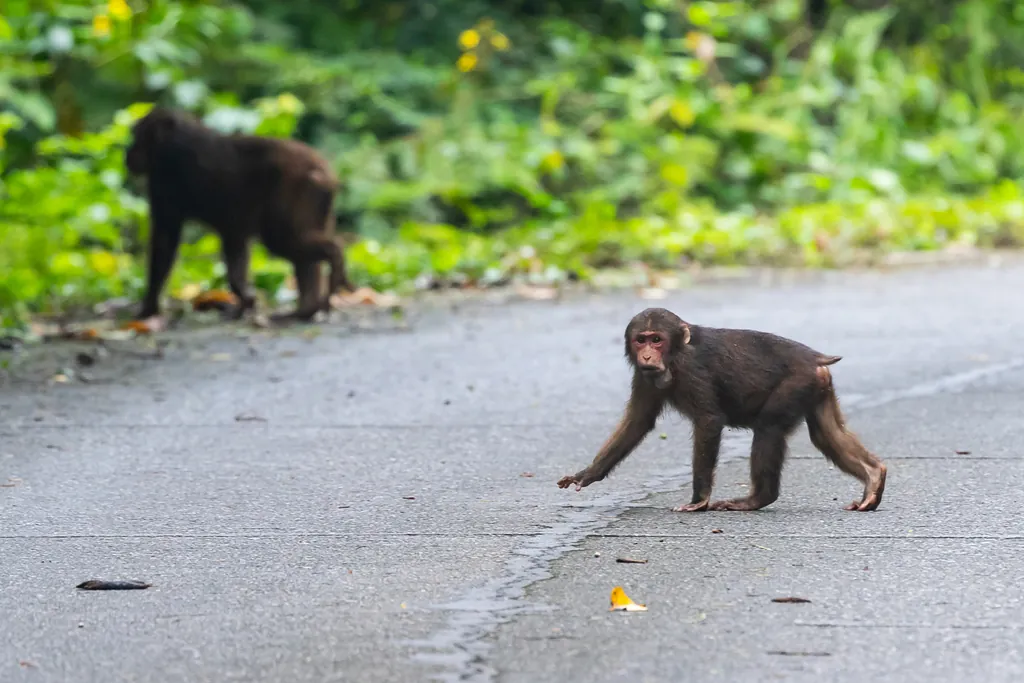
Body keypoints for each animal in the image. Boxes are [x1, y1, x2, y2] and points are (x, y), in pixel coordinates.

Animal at [124, 106, 355, 323]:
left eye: (136, 136)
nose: (128, 153)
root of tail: (323, 172)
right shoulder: (232, 225)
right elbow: (235, 245)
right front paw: (246, 300)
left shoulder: (163, 177)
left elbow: (164, 240)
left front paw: (148, 308)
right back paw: (306, 310)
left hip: (295, 193)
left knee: (282, 240)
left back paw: (334, 262)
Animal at [557, 308, 887, 513]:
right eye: (641, 340)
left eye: (657, 340)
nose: (648, 355)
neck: (675, 356)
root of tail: (814, 358)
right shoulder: (644, 376)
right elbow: (638, 423)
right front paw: (588, 473)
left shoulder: (691, 370)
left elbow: (709, 421)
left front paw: (699, 500)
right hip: (817, 385)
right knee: (825, 433)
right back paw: (873, 476)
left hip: (798, 382)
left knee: (768, 428)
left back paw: (757, 499)